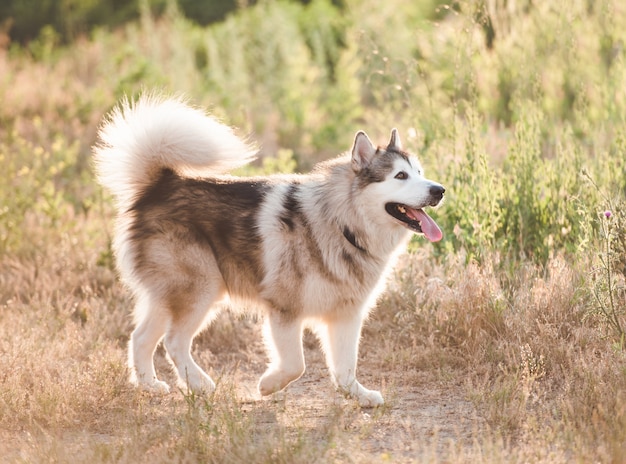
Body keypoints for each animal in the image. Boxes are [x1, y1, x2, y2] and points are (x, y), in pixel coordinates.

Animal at [94, 94, 444, 406]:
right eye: (400, 175)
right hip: (201, 288)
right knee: (174, 341)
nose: (439, 190)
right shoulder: (284, 311)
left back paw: (149, 385)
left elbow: (345, 368)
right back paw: (200, 384)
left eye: (420, 173)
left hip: (171, 295)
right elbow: (296, 365)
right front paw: (268, 385)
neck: (342, 225)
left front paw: (358, 396)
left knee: (141, 338)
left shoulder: (345, 316)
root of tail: (161, 185)